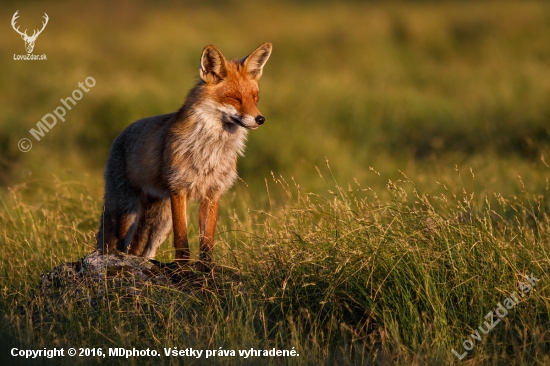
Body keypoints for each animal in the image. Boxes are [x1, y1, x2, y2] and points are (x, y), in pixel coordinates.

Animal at [98, 43, 274, 272]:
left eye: (255, 98)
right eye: (234, 98)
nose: (260, 119)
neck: (209, 150)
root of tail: (120, 135)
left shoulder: (212, 192)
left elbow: (207, 239)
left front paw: (207, 267)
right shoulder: (178, 188)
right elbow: (182, 237)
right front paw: (183, 267)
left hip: (161, 224)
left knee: (145, 253)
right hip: (129, 213)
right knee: (119, 248)